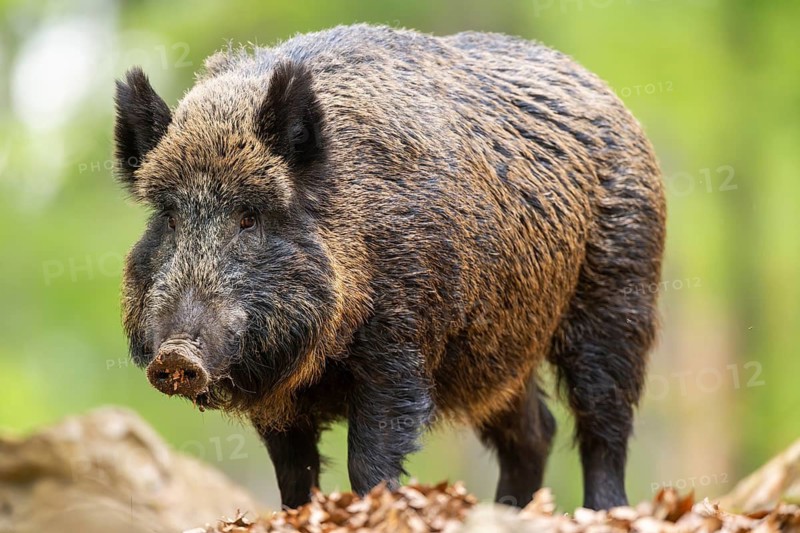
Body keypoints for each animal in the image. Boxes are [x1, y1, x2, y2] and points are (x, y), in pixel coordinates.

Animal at [114, 24, 665, 510]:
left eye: (250, 216)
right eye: (169, 216)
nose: (176, 356)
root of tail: (608, 96)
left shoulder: (402, 341)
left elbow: (370, 459)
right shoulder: (277, 389)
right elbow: (294, 474)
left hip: (619, 294)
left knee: (603, 423)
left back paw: (603, 510)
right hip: (500, 348)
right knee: (534, 433)